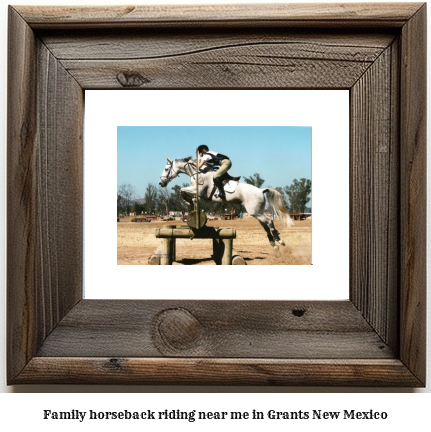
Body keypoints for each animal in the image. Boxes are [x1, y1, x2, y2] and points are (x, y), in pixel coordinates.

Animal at [160, 157, 296, 248]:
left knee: (269, 222)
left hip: (256, 212)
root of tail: (261, 190)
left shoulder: (198, 190)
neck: (197, 173)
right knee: (266, 225)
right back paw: (273, 243)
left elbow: (181, 189)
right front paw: (190, 201)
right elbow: (185, 192)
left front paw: (187, 200)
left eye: (166, 169)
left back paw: (279, 240)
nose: (161, 183)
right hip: (257, 213)